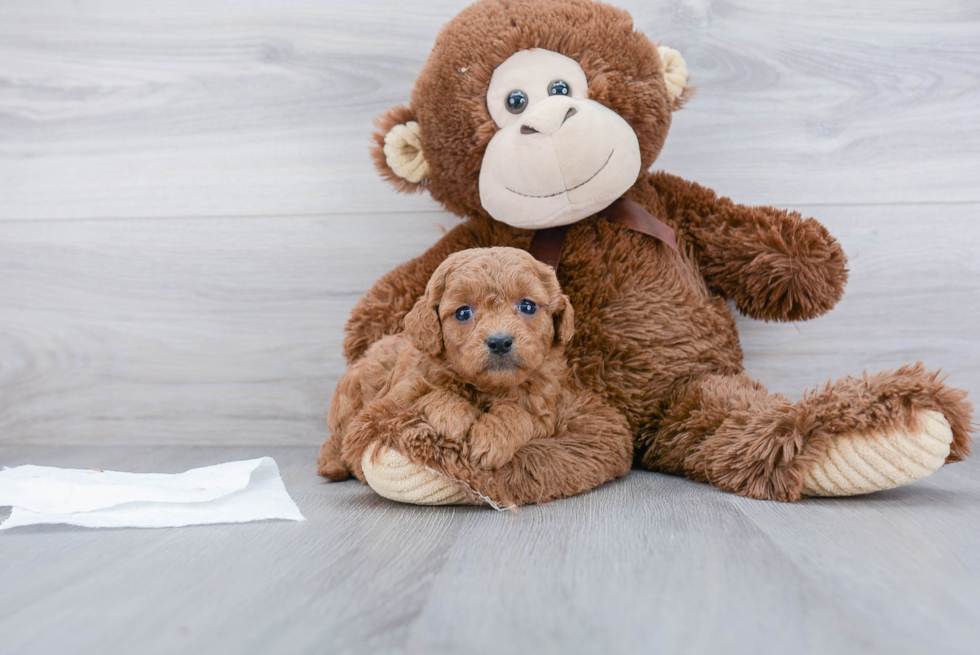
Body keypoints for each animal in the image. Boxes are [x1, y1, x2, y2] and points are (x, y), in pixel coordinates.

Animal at [318, 246, 576, 482]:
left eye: (527, 306)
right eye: (463, 313)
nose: (500, 342)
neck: (487, 387)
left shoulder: (543, 413)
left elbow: (518, 414)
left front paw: (491, 439)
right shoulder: (395, 399)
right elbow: (435, 393)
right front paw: (452, 418)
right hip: (348, 398)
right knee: (336, 438)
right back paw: (332, 467)